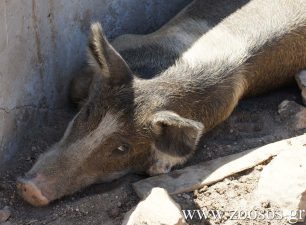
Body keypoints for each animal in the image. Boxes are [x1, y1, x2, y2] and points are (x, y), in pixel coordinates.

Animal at [17, 0, 306, 206]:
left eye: (123, 148)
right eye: (88, 112)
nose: (30, 189)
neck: (162, 85)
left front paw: (157, 166)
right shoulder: (129, 40)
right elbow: (74, 87)